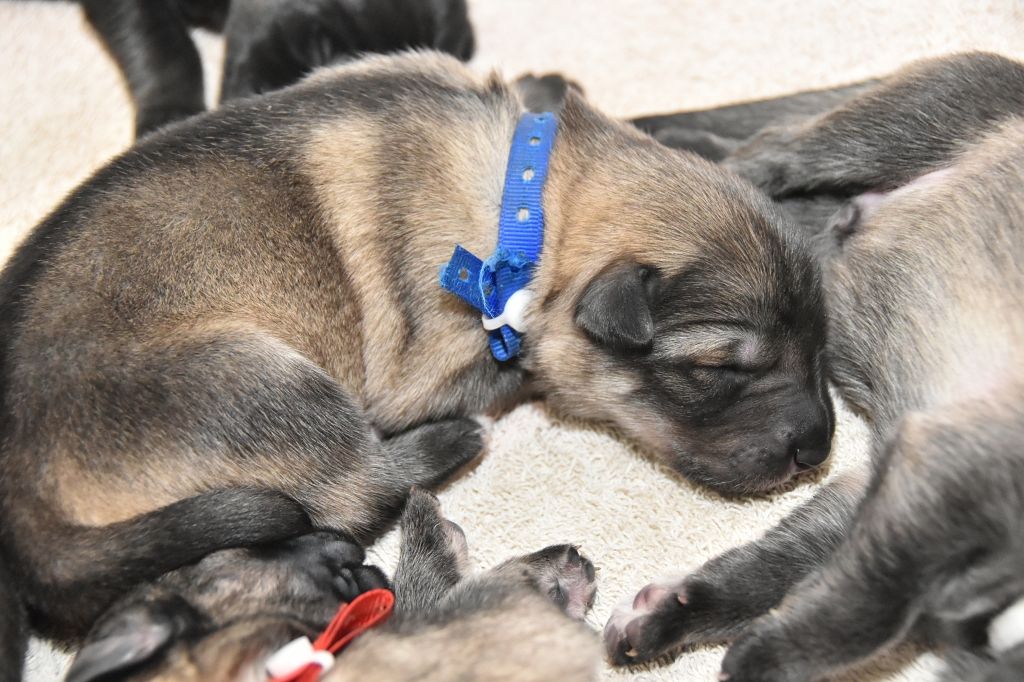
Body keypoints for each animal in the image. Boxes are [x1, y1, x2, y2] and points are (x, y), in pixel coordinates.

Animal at [606, 52, 1024, 681]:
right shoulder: (945, 474)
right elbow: (862, 614)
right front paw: (764, 657)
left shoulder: (883, 489)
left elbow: (770, 572)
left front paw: (670, 615)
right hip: (892, 126)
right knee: (770, 148)